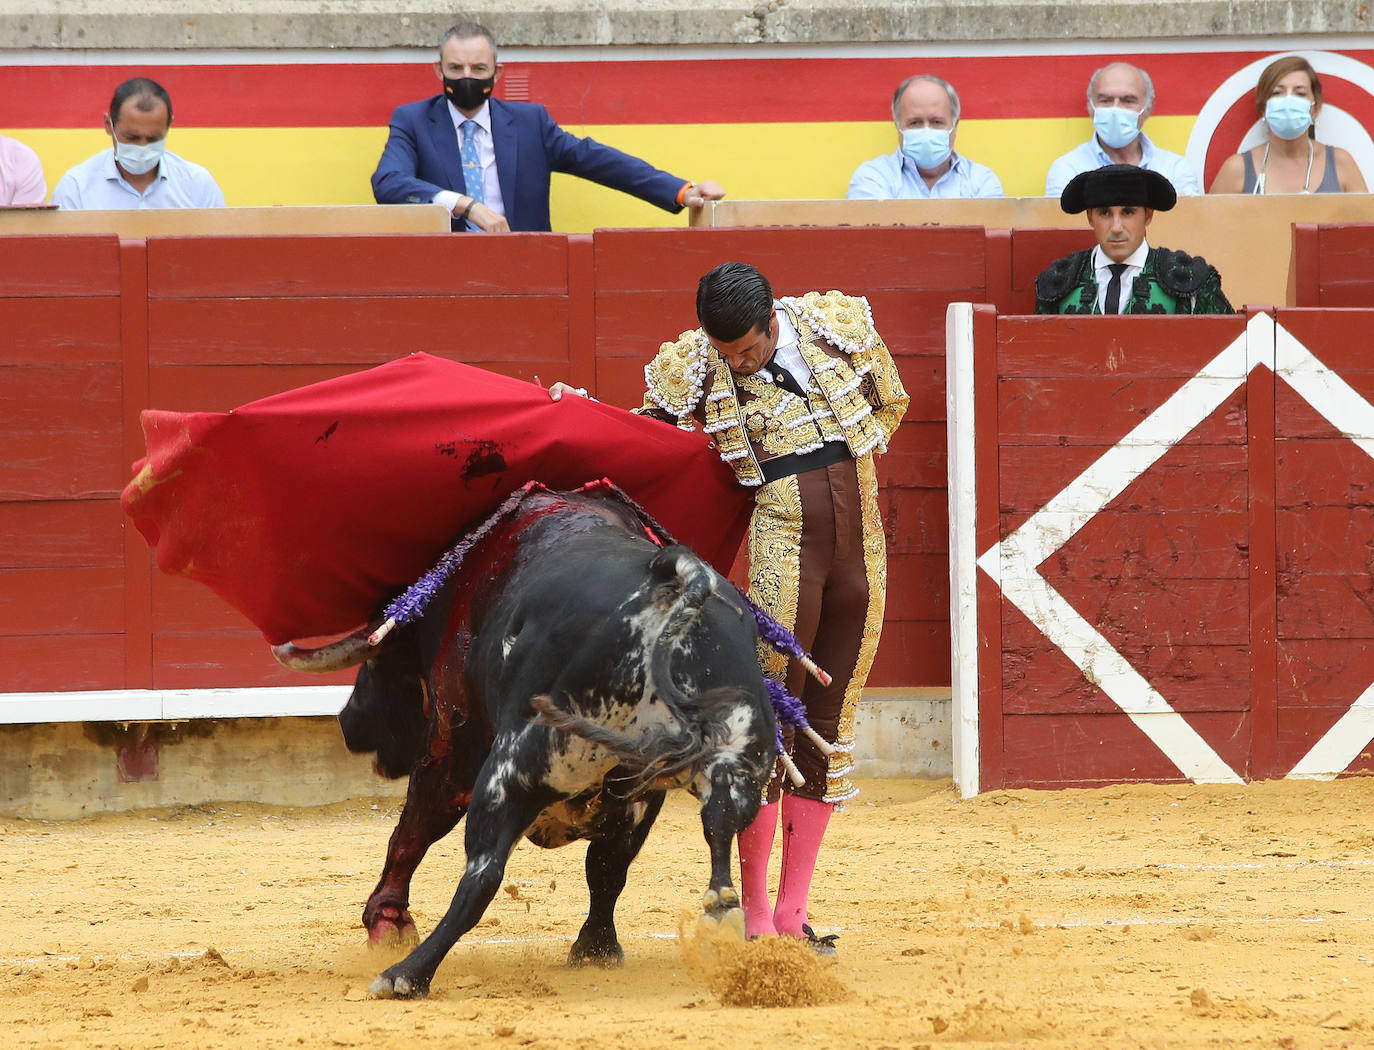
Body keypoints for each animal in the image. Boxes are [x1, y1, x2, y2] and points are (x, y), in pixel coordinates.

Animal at [273, 489, 780, 995]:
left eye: (378, 663)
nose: (347, 723)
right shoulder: (642, 797)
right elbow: (607, 870)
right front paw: (595, 952)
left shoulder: (451, 752)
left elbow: (412, 833)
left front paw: (388, 923)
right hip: (730, 768)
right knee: (717, 834)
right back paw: (721, 921)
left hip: (511, 769)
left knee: (480, 876)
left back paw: (405, 975)